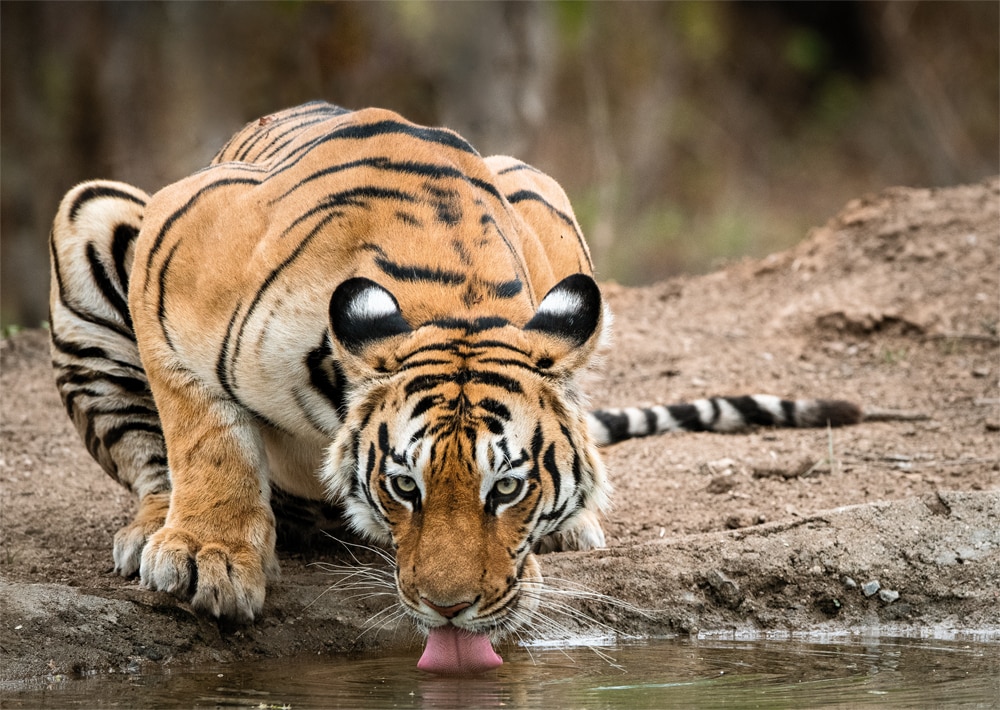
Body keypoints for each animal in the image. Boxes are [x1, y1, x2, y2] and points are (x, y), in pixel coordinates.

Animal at [48, 103, 860, 676]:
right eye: (403, 486)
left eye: (508, 489)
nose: (449, 611)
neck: (451, 298)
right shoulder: (174, 245)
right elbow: (202, 431)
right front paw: (207, 555)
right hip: (93, 210)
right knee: (148, 450)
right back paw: (152, 529)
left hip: (542, 188)